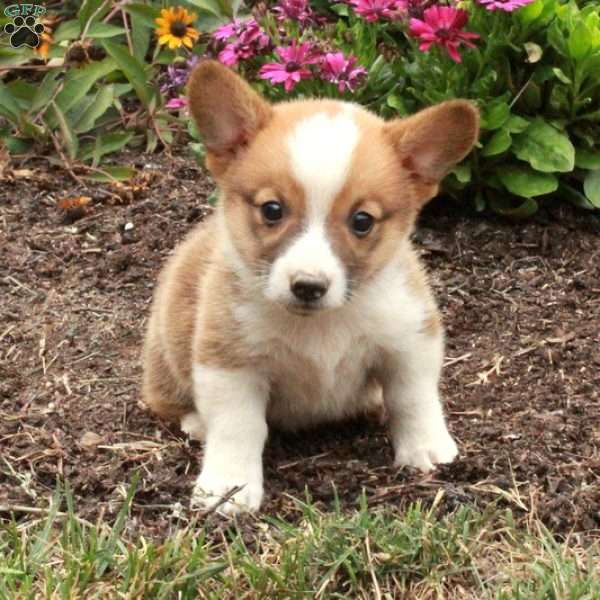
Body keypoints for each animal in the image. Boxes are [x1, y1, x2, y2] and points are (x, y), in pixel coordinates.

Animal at [142, 58, 478, 512]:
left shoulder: (409, 341)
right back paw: (196, 423)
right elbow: (238, 427)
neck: (320, 324)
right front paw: (229, 488)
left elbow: (413, 398)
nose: (307, 286)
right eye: (272, 210)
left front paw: (427, 450)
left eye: (362, 221)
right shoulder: (229, 364)